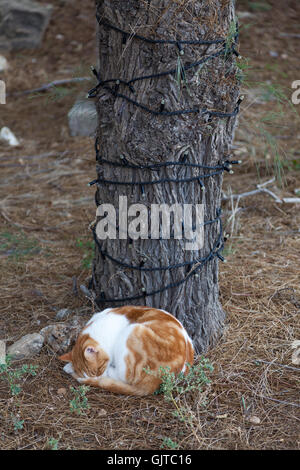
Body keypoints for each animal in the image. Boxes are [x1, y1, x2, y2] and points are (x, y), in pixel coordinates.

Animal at [58, 304, 195, 396]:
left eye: (99, 369)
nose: (96, 377)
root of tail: (156, 383)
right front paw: (70, 366)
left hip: (132, 332)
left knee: (122, 376)